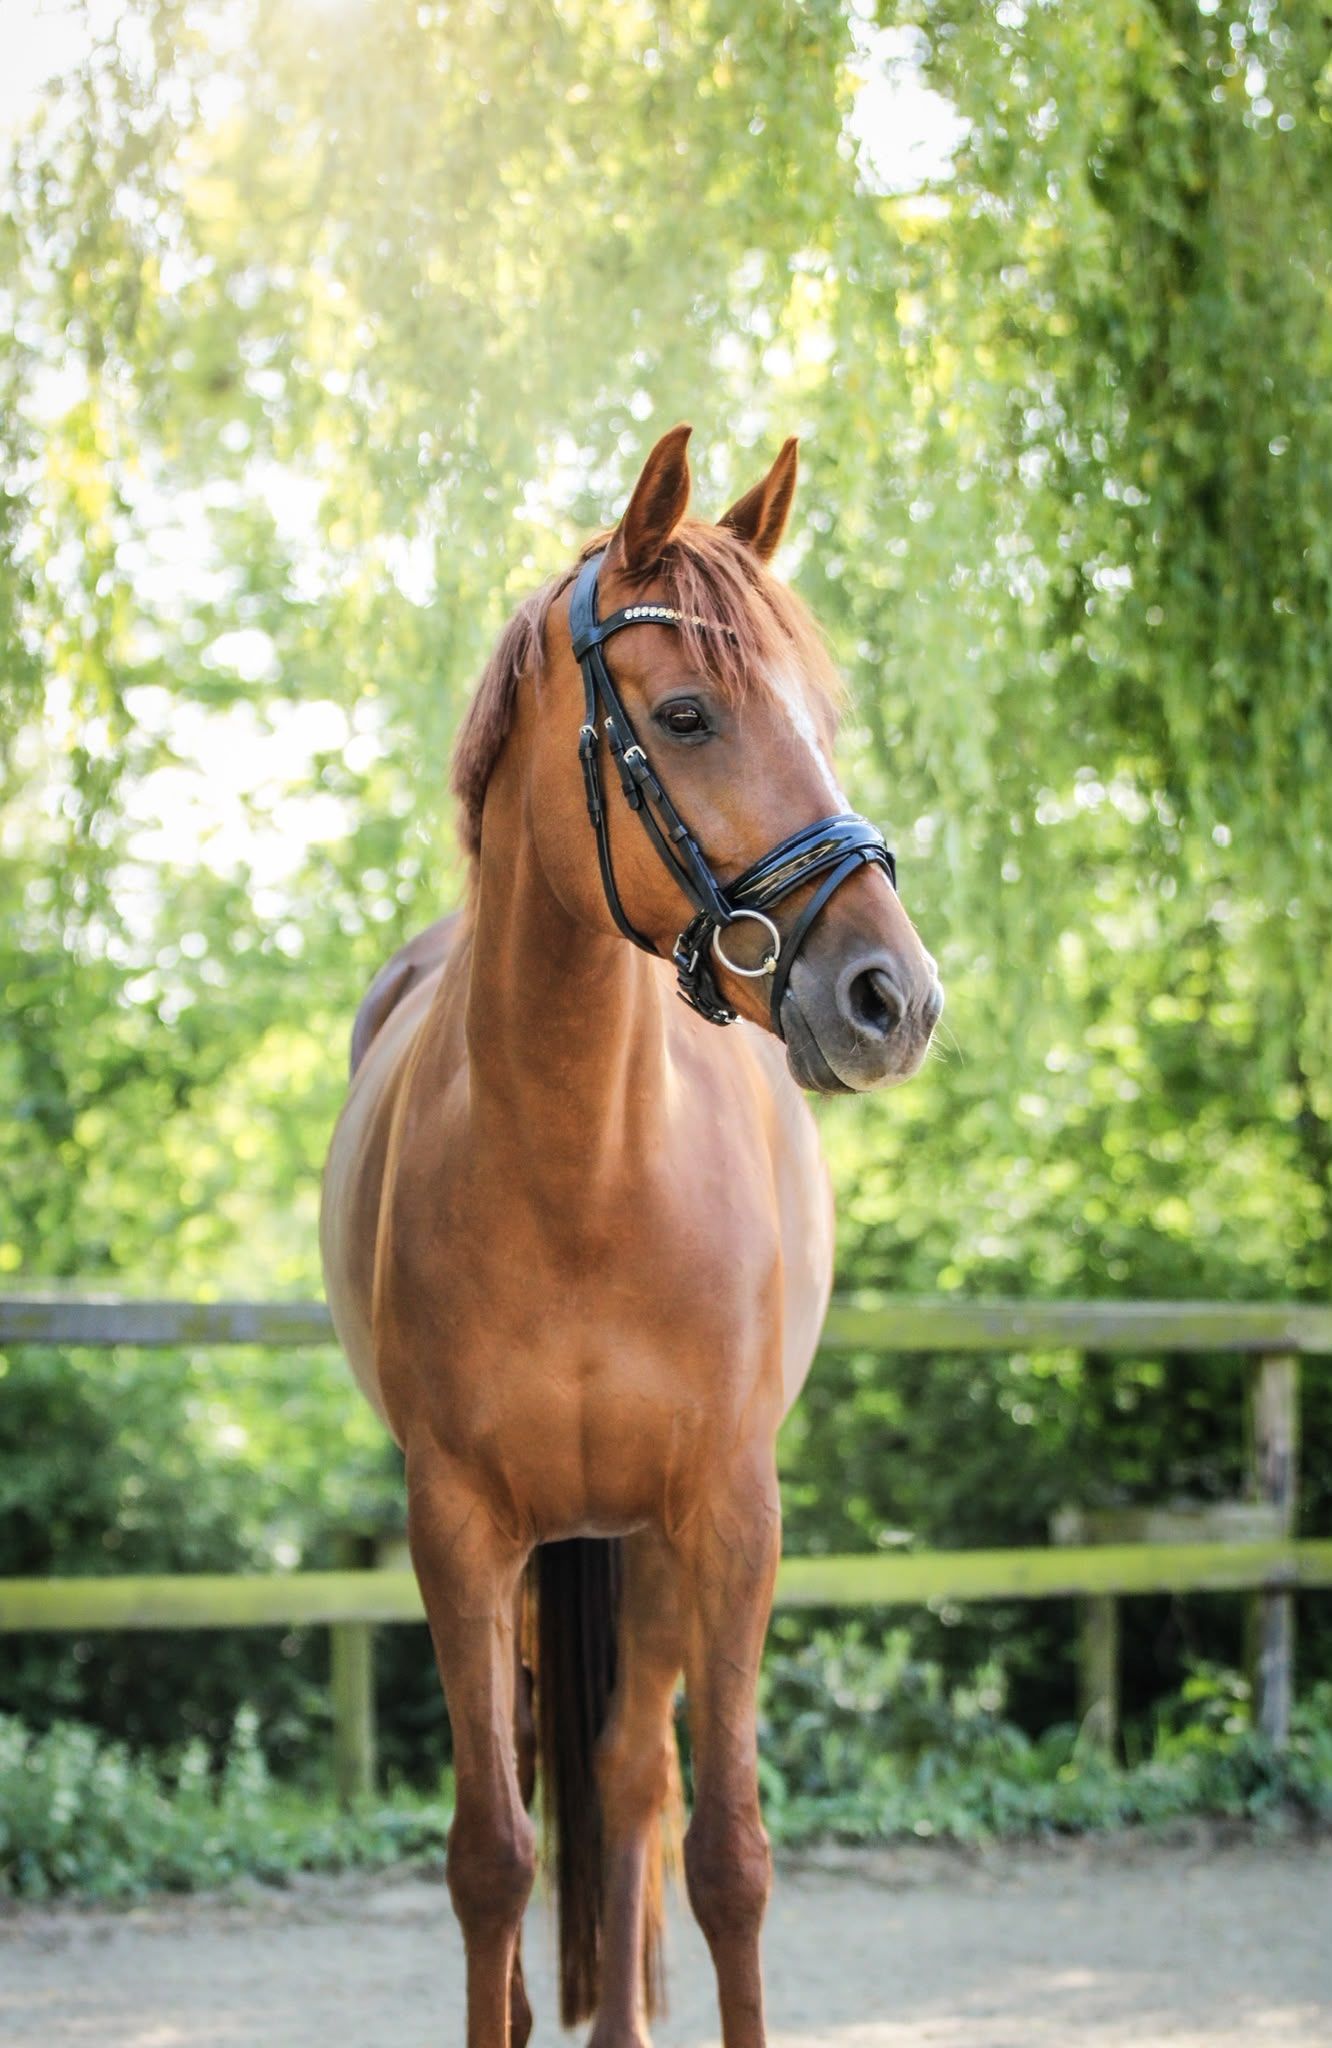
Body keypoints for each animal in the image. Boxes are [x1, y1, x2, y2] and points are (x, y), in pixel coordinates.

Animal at [320, 423, 942, 2048]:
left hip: (649, 1553)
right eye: (686, 713)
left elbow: (721, 1847)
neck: (586, 1174)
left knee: (633, 1780)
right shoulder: (459, 1527)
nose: (894, 998)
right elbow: (491, 1852)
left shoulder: (726, 1514)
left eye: (818, 718)